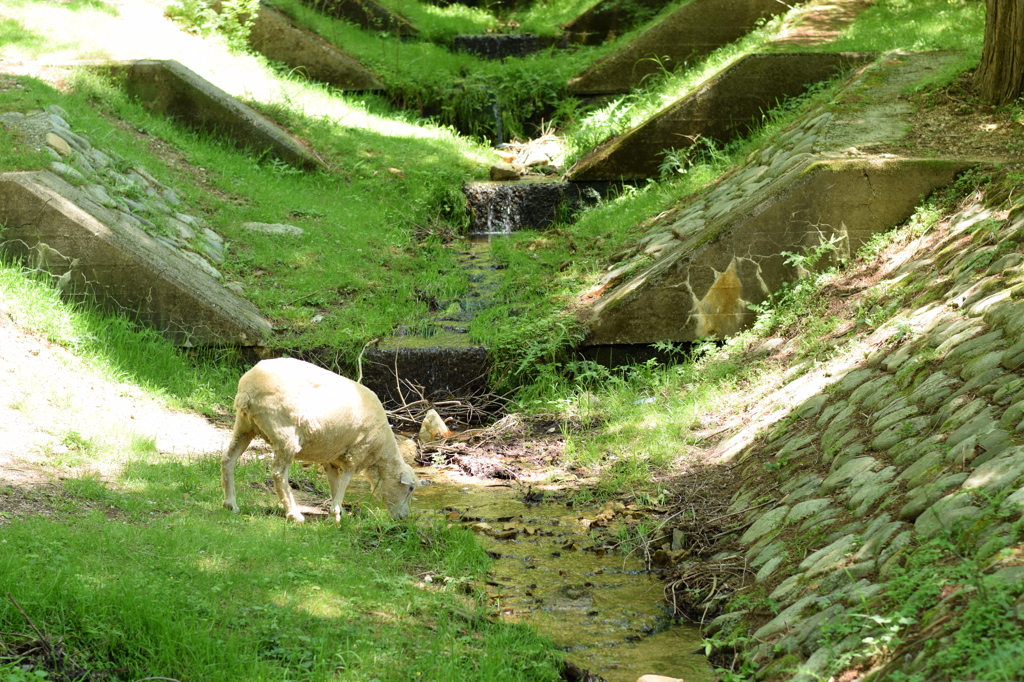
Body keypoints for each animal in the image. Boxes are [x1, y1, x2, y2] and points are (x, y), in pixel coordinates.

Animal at [222, 356, 417, 520]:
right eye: (410, 488)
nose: (405, 517)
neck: (380, 455)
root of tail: (248, 388)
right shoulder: (356, 453)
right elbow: (345, 480)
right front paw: (336, 513)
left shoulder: (331, 456)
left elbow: (334, 482)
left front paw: (339, 511)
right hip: (285, 435)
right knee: (278, 474)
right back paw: (294, 514)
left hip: (244, 425)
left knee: (228, 460)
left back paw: (231, 504)